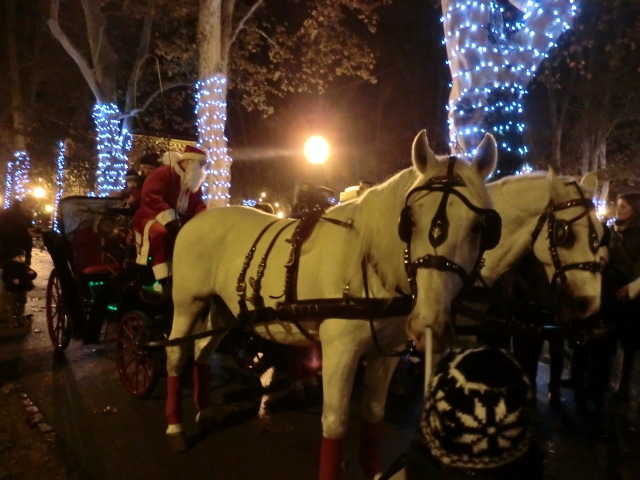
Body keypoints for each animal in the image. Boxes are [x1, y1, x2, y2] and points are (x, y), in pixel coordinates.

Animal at [162, 129, 498, 478]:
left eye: (479, 228)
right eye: (410, 220)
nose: (428, 324)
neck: (368, 260)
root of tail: (196, 220)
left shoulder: (385, 354)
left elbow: (374, 415)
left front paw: (374, 470)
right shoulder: (340, 350)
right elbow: (335, 424)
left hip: (224, 311)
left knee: (202, 352)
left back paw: (205, 412)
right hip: (187, 303)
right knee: (176, 353)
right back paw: (176, 428)